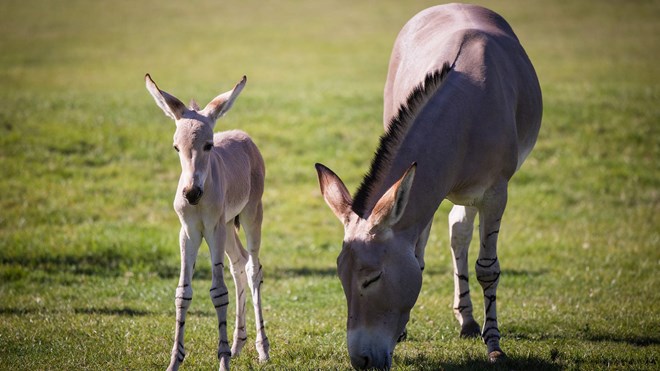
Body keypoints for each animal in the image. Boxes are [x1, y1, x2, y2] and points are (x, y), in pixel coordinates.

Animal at [145, 74, 268, 370]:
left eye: (209, 145)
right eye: (176, 147)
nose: (191, 193)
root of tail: (244, 137)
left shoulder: (213, 229)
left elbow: (218, 292)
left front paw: (222, 361)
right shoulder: (188, 232)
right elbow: (182, 293)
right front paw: (174, 361)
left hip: (250, 215)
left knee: (253, 268)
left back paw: (262, 349)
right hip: (228, 225)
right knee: (239, 263)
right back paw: (237, 344)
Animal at [316, 4, 540, 370]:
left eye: (372, 278)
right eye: (340, 276)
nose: (362, 361)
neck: (467, 117)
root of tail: (454, 5)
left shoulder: (495, 193)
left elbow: (488, 269)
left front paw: (494, 345)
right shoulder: (422, 193)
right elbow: (418, 259)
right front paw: (404, 331)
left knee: (461, 232)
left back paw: (472, 323)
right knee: (453, 232)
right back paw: (464, 319)